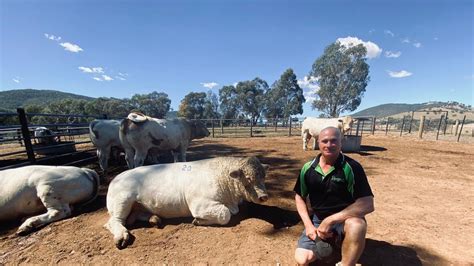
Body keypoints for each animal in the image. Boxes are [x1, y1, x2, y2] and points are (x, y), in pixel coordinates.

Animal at [105, 156, 268, 249]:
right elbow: (225, 214)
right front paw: (198, 221)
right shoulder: (199, 204)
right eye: (248, 178)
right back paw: (122, 236)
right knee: (114, 221)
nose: (264, 196)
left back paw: (154, 219)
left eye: (264, 176)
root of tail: (115, 178)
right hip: (122, 201)